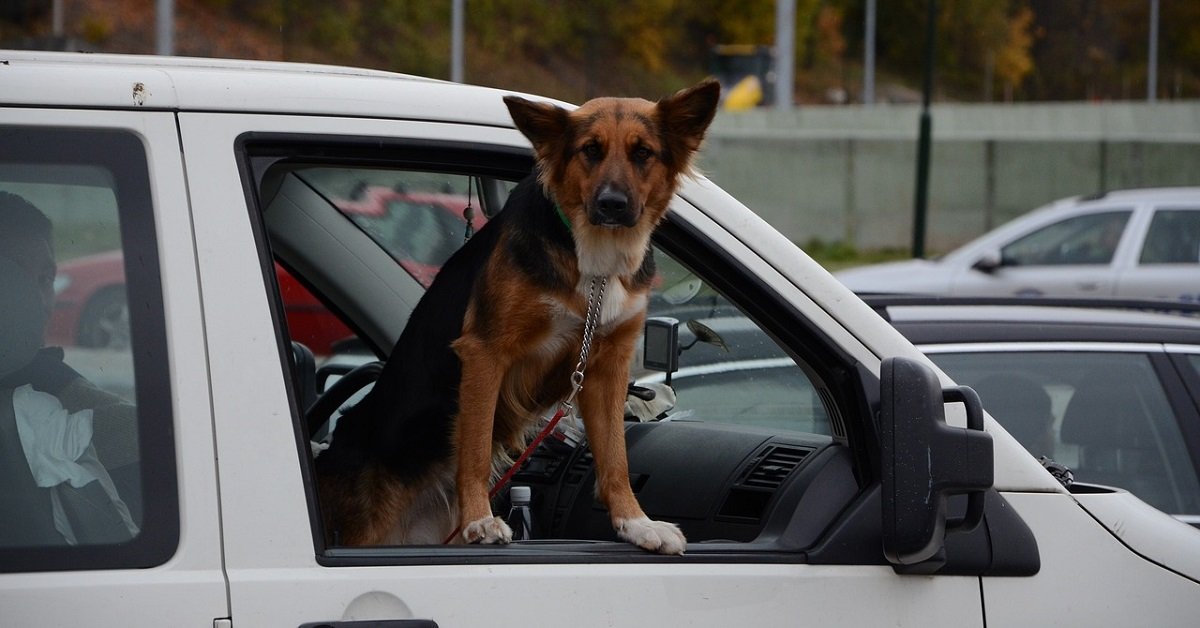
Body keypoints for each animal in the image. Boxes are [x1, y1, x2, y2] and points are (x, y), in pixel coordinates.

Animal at [314, 78, 715, 554]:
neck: (594, 260)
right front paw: (479, 520)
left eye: (642, 153)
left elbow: (615, 456)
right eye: (590, 150)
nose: (612, 204)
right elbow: (474, 448)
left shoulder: (606, 366)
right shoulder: (485, 352)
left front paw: (636, 523)